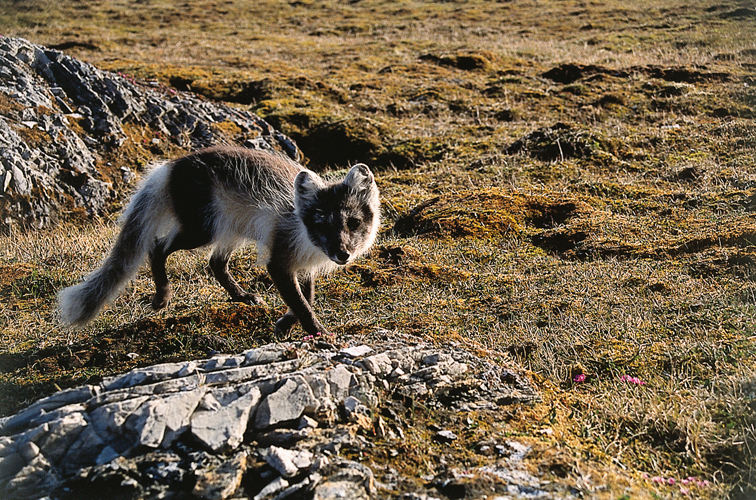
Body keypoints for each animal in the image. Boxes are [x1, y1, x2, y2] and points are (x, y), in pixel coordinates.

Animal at [57, 146, 384, 338]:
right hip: (202, 230)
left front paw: (283, 325)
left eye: (353, 223)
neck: (305, 236)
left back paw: (242, 297)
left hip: (230, 230)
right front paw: (321, 336)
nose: (342, 254)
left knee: (214, 263)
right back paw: (162, 297)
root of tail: (169, 166)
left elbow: (307, 297)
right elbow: (303, 304)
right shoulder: (279, 261)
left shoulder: (302, 265)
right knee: (157, 247)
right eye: (322, 225)